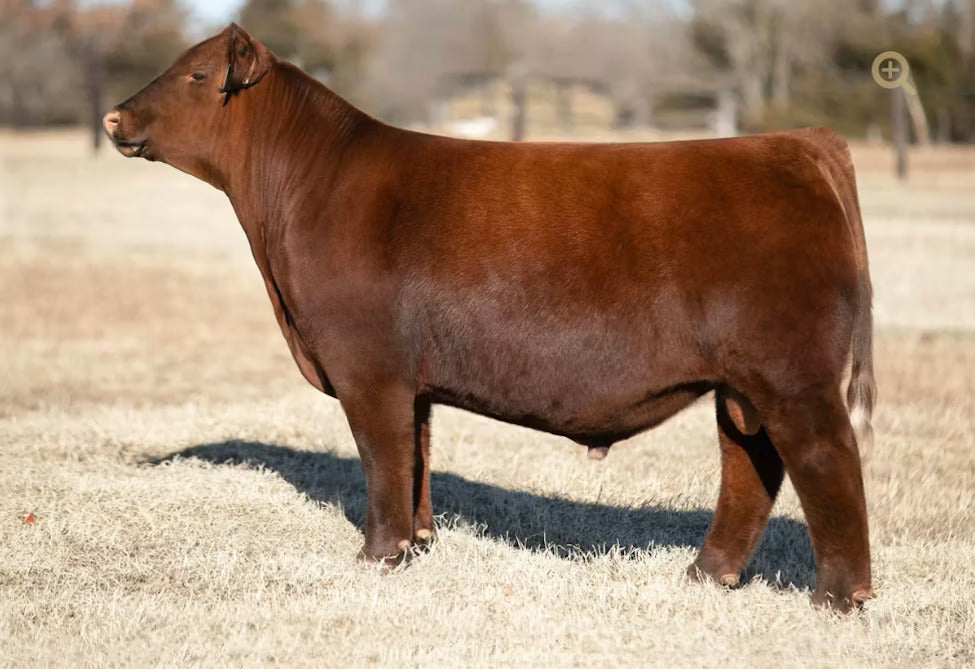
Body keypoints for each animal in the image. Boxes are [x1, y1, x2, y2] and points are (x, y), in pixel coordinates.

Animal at [104, 24, 876, 612]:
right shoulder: (410, 380)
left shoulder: (369, 369)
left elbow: (383, 457)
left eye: (197, 74)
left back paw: (839, 598)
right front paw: (417, 544)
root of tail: (795, 142)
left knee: (825, 458)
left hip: (793, 376)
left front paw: (377, 556)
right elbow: (416, 457)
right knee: (750, 465)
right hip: (743, 386)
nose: (113, 117)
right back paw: (705, 574)